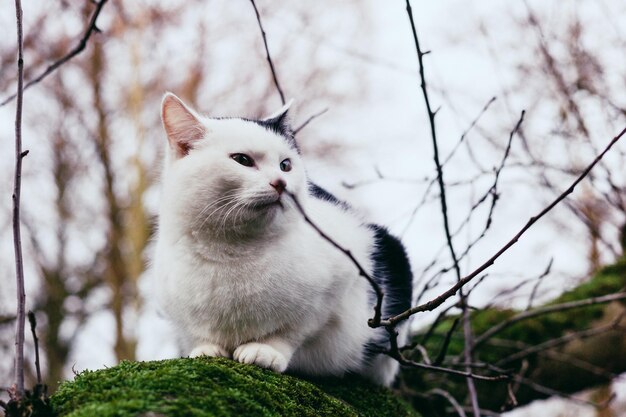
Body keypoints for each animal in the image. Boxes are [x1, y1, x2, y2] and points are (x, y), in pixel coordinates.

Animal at [153, 92, 412, 386]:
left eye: (285, 165)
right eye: (242, 159)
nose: (280, 182)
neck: (231, 249)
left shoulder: (337, 283)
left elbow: (293, 330)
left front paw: (266, 350)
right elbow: (198, 334)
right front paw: (206, 349)